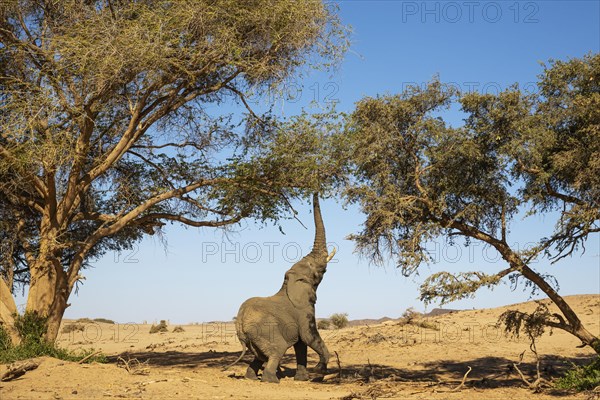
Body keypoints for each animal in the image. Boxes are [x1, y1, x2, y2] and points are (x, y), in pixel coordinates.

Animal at [226, 195, 338, 384]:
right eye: (317, 271)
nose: (315, 191)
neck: (288, 283)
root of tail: (239, 323)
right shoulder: (304, 310)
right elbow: (308, 337)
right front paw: (319, 371)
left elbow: (301, 345)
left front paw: (302, 379)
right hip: (266, 331)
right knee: (276, 351)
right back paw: (272, 380)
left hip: (255, 338)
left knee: (260, 356)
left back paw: (252, 378)